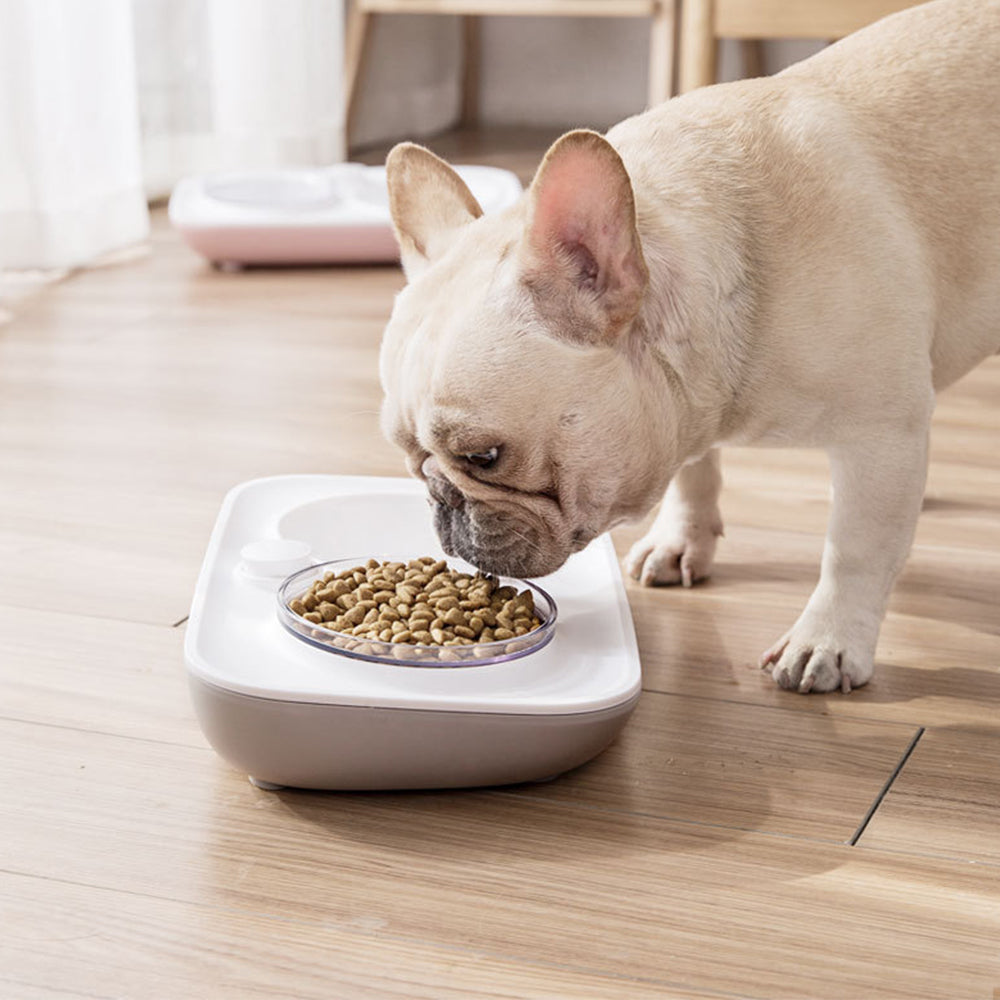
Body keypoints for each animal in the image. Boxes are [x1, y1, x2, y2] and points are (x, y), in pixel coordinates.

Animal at [376, 1, 1000, 696]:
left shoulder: (880, 436)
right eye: (410, 457)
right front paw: (681, 541)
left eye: (484, 457)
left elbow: (854, 549)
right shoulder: (683, 400)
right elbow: (694, 473)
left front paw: (828, 641)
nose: (442, 504)